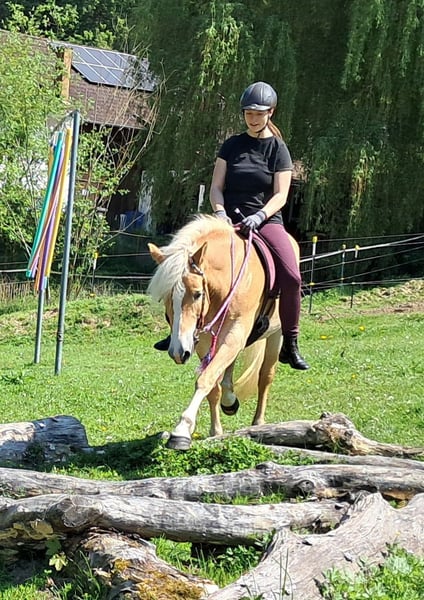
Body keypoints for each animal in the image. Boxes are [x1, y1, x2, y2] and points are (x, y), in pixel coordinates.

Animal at [147, 214, 299, 450]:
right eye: (165, 297)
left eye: (197, 294)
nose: (178, 352)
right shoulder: (203, 340)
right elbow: (213, 384)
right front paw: (215, 431)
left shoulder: (236, 333)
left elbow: (206, 379)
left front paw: (181, 430)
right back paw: (229, 400)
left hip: (275, 335)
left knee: (265, 376)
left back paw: (259, 423)